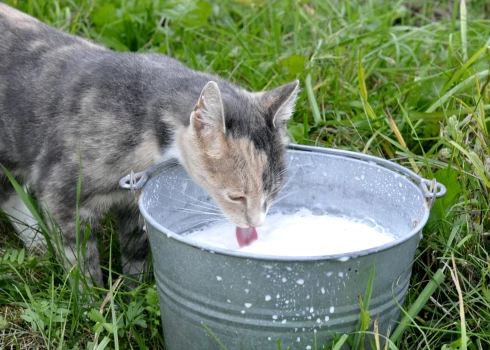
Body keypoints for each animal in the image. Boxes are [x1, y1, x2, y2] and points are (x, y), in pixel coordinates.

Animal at [0, 4, 298, 286]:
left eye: (273, 193)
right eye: (236, 197)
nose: (257, 224)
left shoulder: (135, 203)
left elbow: (137, 249)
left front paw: (135, 289)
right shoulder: (60, 191)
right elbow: (79, 258)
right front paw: (91, 298)